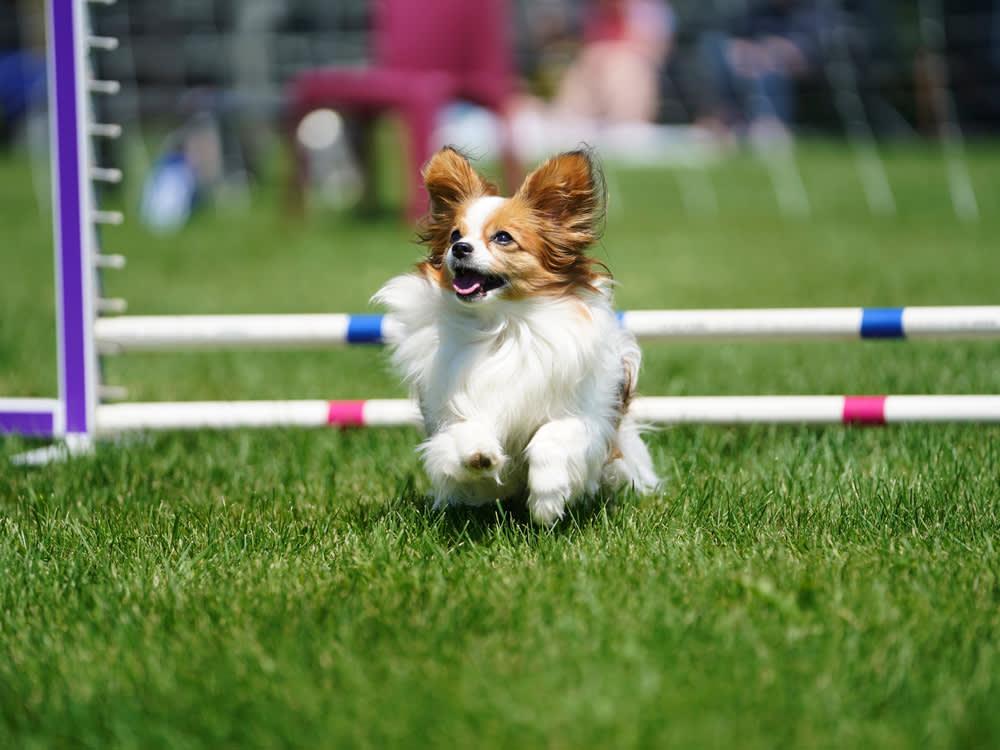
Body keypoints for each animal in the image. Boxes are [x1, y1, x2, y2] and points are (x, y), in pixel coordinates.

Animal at [374, 145, 656, 524]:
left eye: (503, 238)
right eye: (454, 235)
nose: (459, 248)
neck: (503, 327)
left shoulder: (586, 419)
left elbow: (552, 437)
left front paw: (547, 499)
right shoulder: (449, 415)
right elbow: (466, 432)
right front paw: (479, 453)